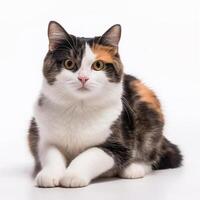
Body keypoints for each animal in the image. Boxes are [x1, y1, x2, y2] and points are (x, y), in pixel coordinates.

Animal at [28, 21, 183, 188]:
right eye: (69, 63)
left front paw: (73, 175)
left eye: (98, 65)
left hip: (149, 115)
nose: (83, 78)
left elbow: (91, 154)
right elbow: (51, 154)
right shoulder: (43, 137)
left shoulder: (120, 146)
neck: (79, 107)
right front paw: (49, 174)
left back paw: (134, 168)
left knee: (152, 153)